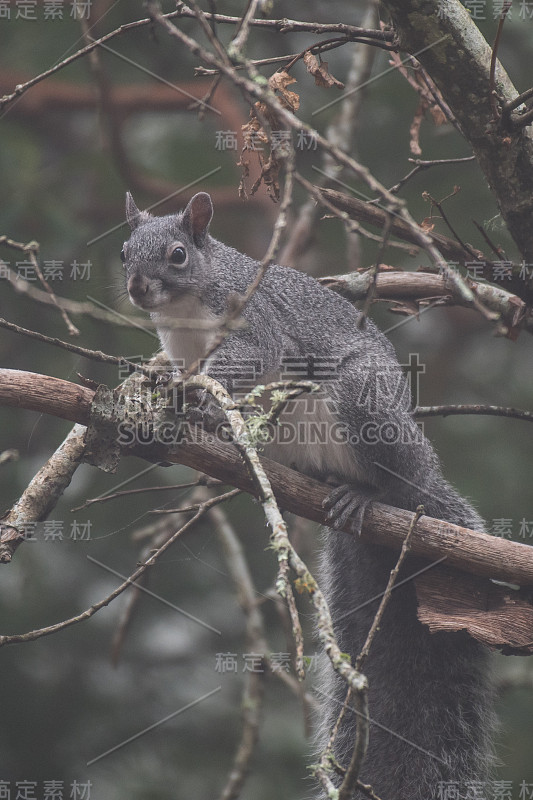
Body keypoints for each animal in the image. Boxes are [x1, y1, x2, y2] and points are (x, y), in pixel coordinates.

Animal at [122, 192, 492, 800]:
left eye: (177, 254)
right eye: (124, 251)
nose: (136, 288)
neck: (190, 305)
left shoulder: (257, 325)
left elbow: (252, 358)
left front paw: (197, 403)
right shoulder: (180, 347)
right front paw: (175, 401)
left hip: (368, 407)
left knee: (394, 479)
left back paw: (366, 494)